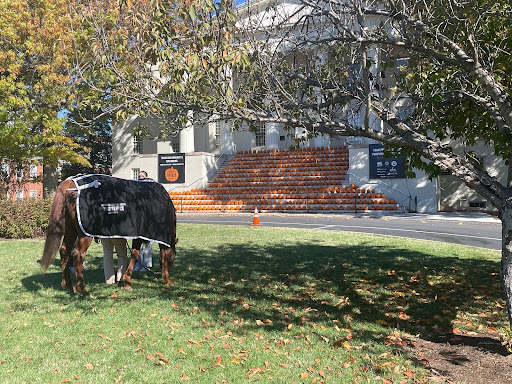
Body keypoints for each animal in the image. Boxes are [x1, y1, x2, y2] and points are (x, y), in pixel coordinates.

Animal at [39, 176, 178, 298]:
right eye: (174, 257)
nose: (170, 270)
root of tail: (70, 183)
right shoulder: (157, 236)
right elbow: (148, 255)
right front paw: (167, 280)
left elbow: (135, 254)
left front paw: (126, 281)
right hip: (85, 235)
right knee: (77, 255)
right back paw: (83, 291)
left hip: (70, 230)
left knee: (64, 252)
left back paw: (69, 286)